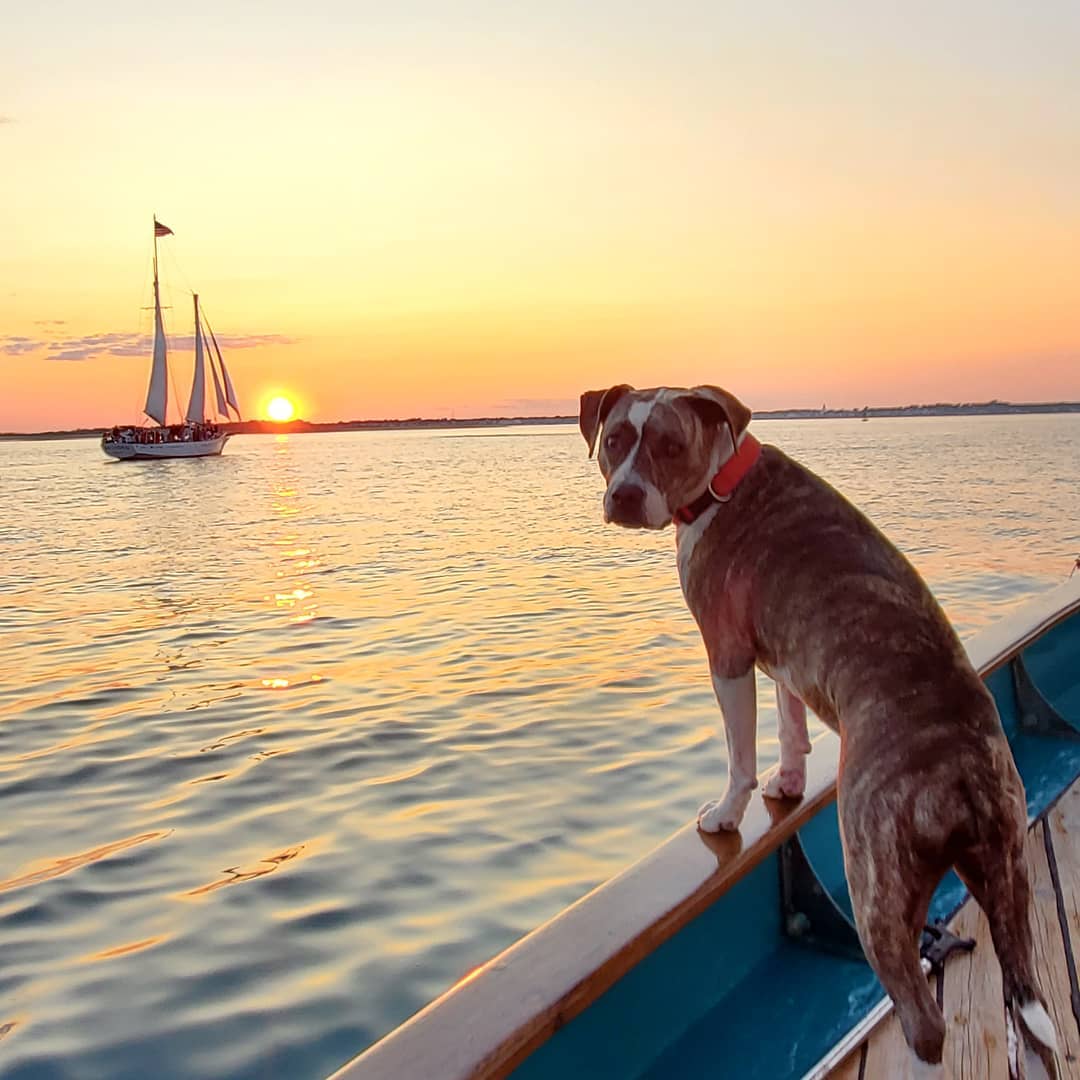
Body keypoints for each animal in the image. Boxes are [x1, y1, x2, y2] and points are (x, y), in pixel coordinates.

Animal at [583, 384, 1054, 1075]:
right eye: (615, 439)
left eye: (669, 445)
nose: (626, 495)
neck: (722, 479)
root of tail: (961, 768)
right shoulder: (785, 654)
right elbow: (789, 725)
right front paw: (788, 782)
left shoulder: (727, 653)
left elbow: (740, 752)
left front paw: (727, 813)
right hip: (1006, 869)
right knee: (1026, 998)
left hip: (875, 892)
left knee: (925, 1019)